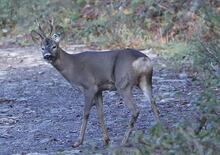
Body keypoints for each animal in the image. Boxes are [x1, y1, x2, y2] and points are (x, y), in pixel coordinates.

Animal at [30, 20, 160, 148]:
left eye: (54, 46)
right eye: (42, 48)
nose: (47, 56)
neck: (71, 66)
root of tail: (144, 60)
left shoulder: (89, 87)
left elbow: (86, 113)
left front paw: (78, 142)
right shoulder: (99, 89)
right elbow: (100, 113)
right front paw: (106, 140)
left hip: (123, 84)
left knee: (135, 110)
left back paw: (124, 141)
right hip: (145, 81)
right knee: (154, 105)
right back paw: (161, 133)